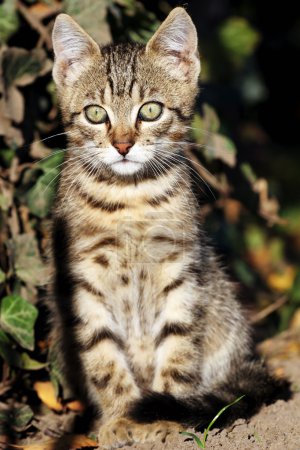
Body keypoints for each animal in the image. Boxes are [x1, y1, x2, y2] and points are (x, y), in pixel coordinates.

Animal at [50, 7, 290, 450]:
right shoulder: (85, 281)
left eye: (150, 111)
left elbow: (178, 347)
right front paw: (121, 418)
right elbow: (104, 356)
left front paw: (165, 415)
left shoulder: (180, 271)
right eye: (95, 113)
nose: (122, 145)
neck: (130, 199)